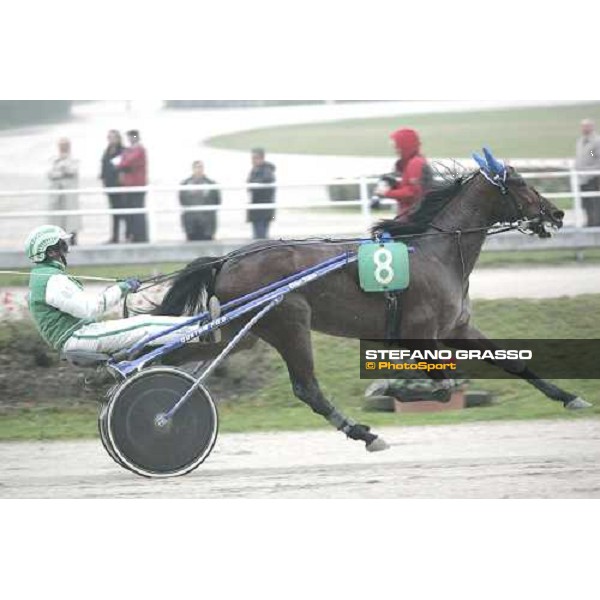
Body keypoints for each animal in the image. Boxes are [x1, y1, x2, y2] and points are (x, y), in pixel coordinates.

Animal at [154, 150, 592, 450]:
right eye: (519, 183)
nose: (557, 214)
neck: (436, 253)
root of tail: (227, 259)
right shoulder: (419, 334)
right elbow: (444, 384)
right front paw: (400, 392)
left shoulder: (459, 327)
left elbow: (512, 363)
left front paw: (571, 397)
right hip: (289, 322)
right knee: (308, 389)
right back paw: (363, 433)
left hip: (240, 332)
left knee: (176, 353)